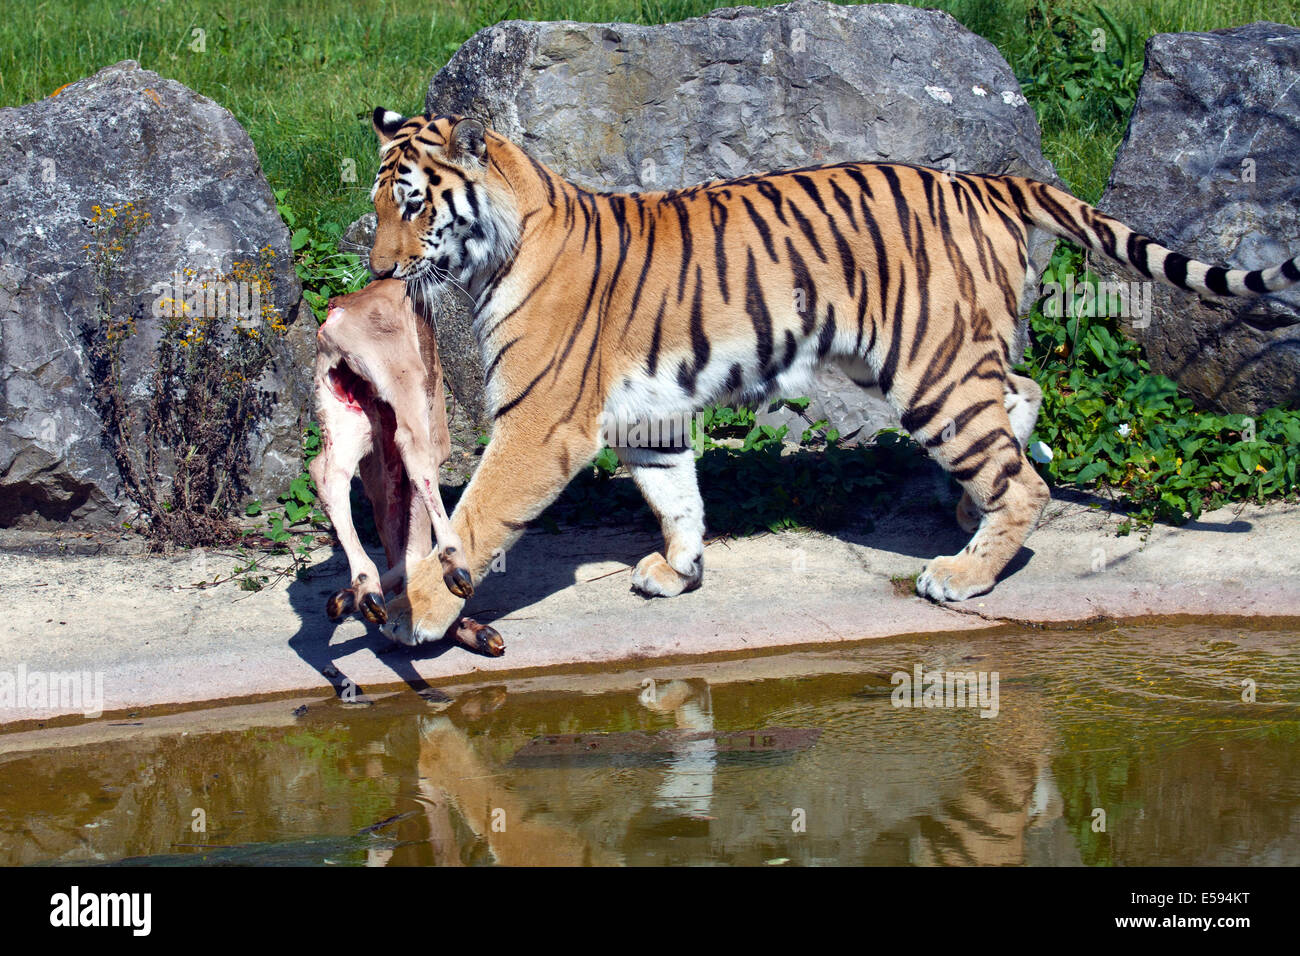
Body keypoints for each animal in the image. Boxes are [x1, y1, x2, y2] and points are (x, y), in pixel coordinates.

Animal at [364, 108, 1300, 647]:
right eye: (376, 204)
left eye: (411, 204)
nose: (375, 270)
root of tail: (990, 183)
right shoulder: (649, 417)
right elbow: (676, 495)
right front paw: (680, 571)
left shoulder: (538, 423)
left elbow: (471, 522)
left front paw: (417, 616)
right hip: (929, 359)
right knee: (1022, 399)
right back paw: (968, 515)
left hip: (929, 369)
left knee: (1022, 476)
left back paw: (963, 573)